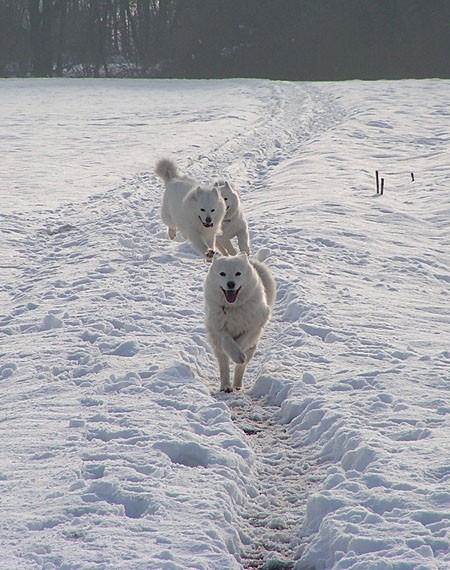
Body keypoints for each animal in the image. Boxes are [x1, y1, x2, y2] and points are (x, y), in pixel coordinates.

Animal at [203, 252, 274, 390]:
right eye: (222, 273)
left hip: (252, 348)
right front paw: (235, 353)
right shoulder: (216, 327)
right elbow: (226, 340)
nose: (230, 284)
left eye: (238, 273)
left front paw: (239, 354)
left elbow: (243, 340)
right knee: (224, 366)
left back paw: (237, 386)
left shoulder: (256, 325)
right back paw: (226, 387)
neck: (233, 308)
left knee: (240, 368)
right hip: (218, 350)